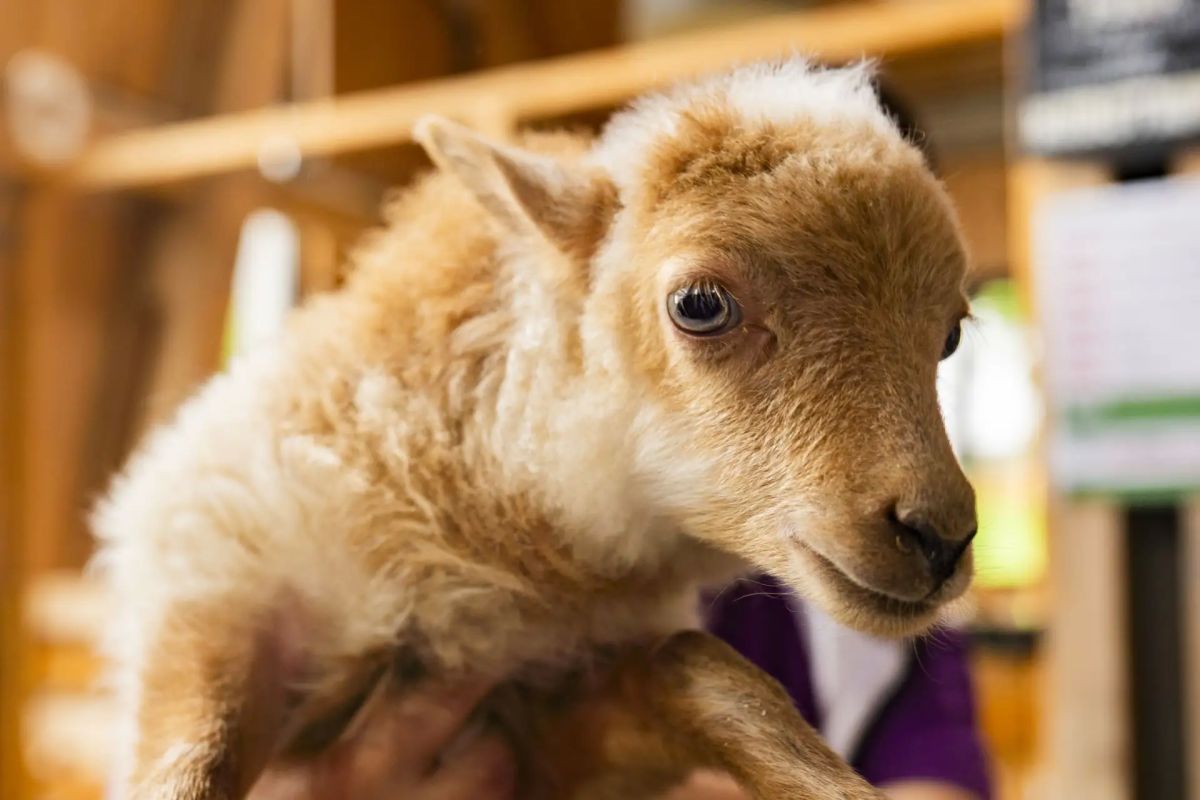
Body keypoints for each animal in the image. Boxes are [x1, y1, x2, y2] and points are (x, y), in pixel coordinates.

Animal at [93, 59, 977, 800]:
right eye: (699, 304)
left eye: (951, 337)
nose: (942, 538)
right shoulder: (212, 576)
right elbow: (189, 763)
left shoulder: (538, 735)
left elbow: (703, 672)